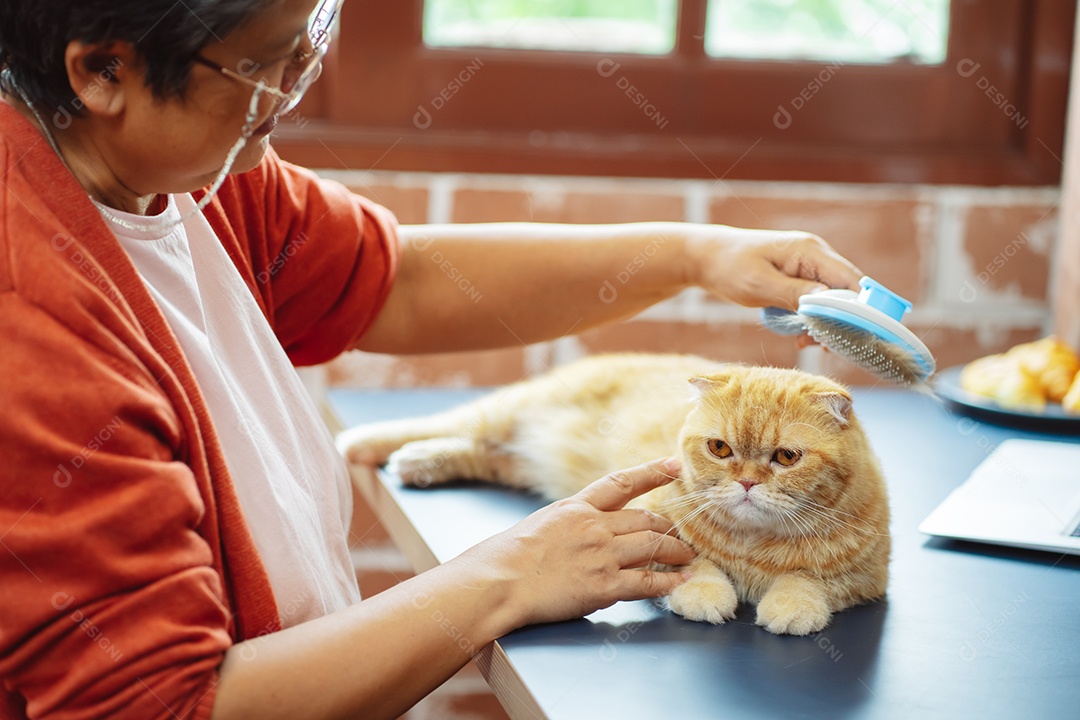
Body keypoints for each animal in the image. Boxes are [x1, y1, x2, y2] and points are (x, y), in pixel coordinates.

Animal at [341, 354, 889, 634]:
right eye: (720, 448)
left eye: (787, 457)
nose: (748, 483)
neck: (755, 544)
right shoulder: (656, 532)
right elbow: (697, 565)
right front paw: (705, 593)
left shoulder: (864, 579)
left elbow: (809, 580)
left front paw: (792, 604)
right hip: (503, 410)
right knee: (443, 423)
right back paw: (369, 444)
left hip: (513, 461)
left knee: (476, 450)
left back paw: (420, 462)